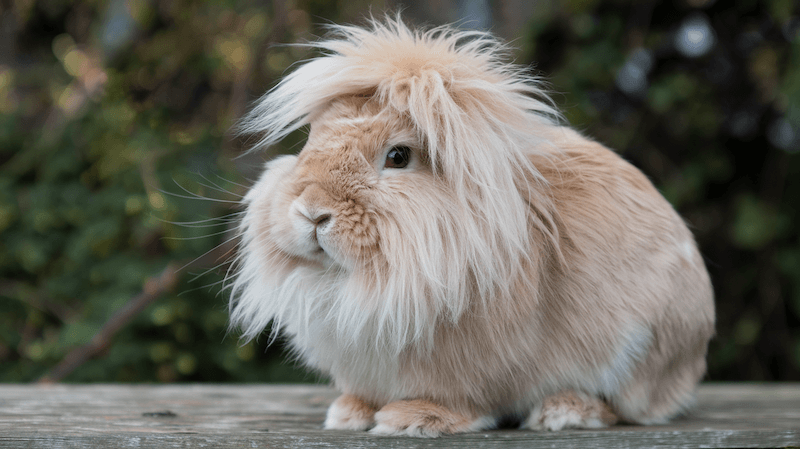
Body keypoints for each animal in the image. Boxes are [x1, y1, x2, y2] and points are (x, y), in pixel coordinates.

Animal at [228, 17, 716, 438]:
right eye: (310, 139)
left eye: (398, 157)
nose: (312, 212)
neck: (365, 282)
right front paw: (348, 414)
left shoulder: (472, 365)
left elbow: (463, 399)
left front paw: (413, 420)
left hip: (638, 356)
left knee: (627, 408)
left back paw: (562, 411)